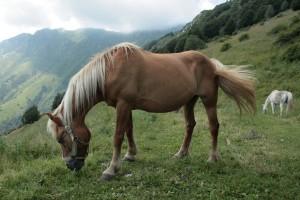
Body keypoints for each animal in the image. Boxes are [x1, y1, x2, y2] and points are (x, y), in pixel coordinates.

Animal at [47, 42, 255, 180]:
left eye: (61, 139)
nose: (71, 166)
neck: (110, 69)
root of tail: (210, 63)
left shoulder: (123, 104)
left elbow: (118, 136)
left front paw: (111, 169)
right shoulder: (126, 106)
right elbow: (129, 130)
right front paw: (130, 155)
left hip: (208, 100)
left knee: (213, 126)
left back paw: (212, 157)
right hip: (189, 101)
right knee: (190, 125)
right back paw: (181, 153)